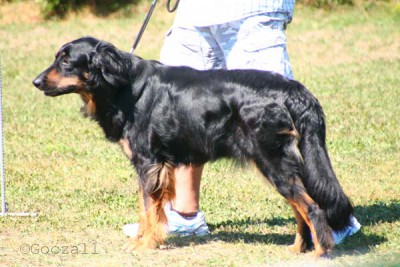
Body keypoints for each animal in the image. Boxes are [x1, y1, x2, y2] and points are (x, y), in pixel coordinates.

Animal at [33, 36, 354, 258]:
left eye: (66, 61)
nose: (35, 81)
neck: (124, 86)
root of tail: (293, 89)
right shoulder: (151, 166)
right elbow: (144, 208)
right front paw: (143, 239)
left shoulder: (149, 162)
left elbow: (149, 208)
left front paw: (146, 245)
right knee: (301, 208)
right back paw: (297, 249)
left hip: (271, 160)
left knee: (312, 208)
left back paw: (321, 252)